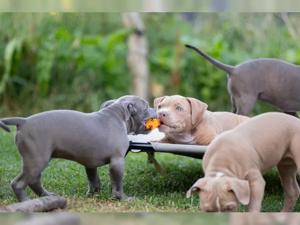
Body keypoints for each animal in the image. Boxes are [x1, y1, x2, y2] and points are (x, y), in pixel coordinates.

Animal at [0, 95, 157, 202]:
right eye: (146, 106)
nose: (155, 109)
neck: (117, 115)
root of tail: (23, 121)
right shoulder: (117, 161)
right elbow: (117, 182)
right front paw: (123, 198)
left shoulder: (90, 163)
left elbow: (93, 179)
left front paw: (93, 194)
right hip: (37, 160)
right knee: (19, 183)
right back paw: (25, 202)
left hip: (36, 160)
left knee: (34, 180)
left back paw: (47, 196)